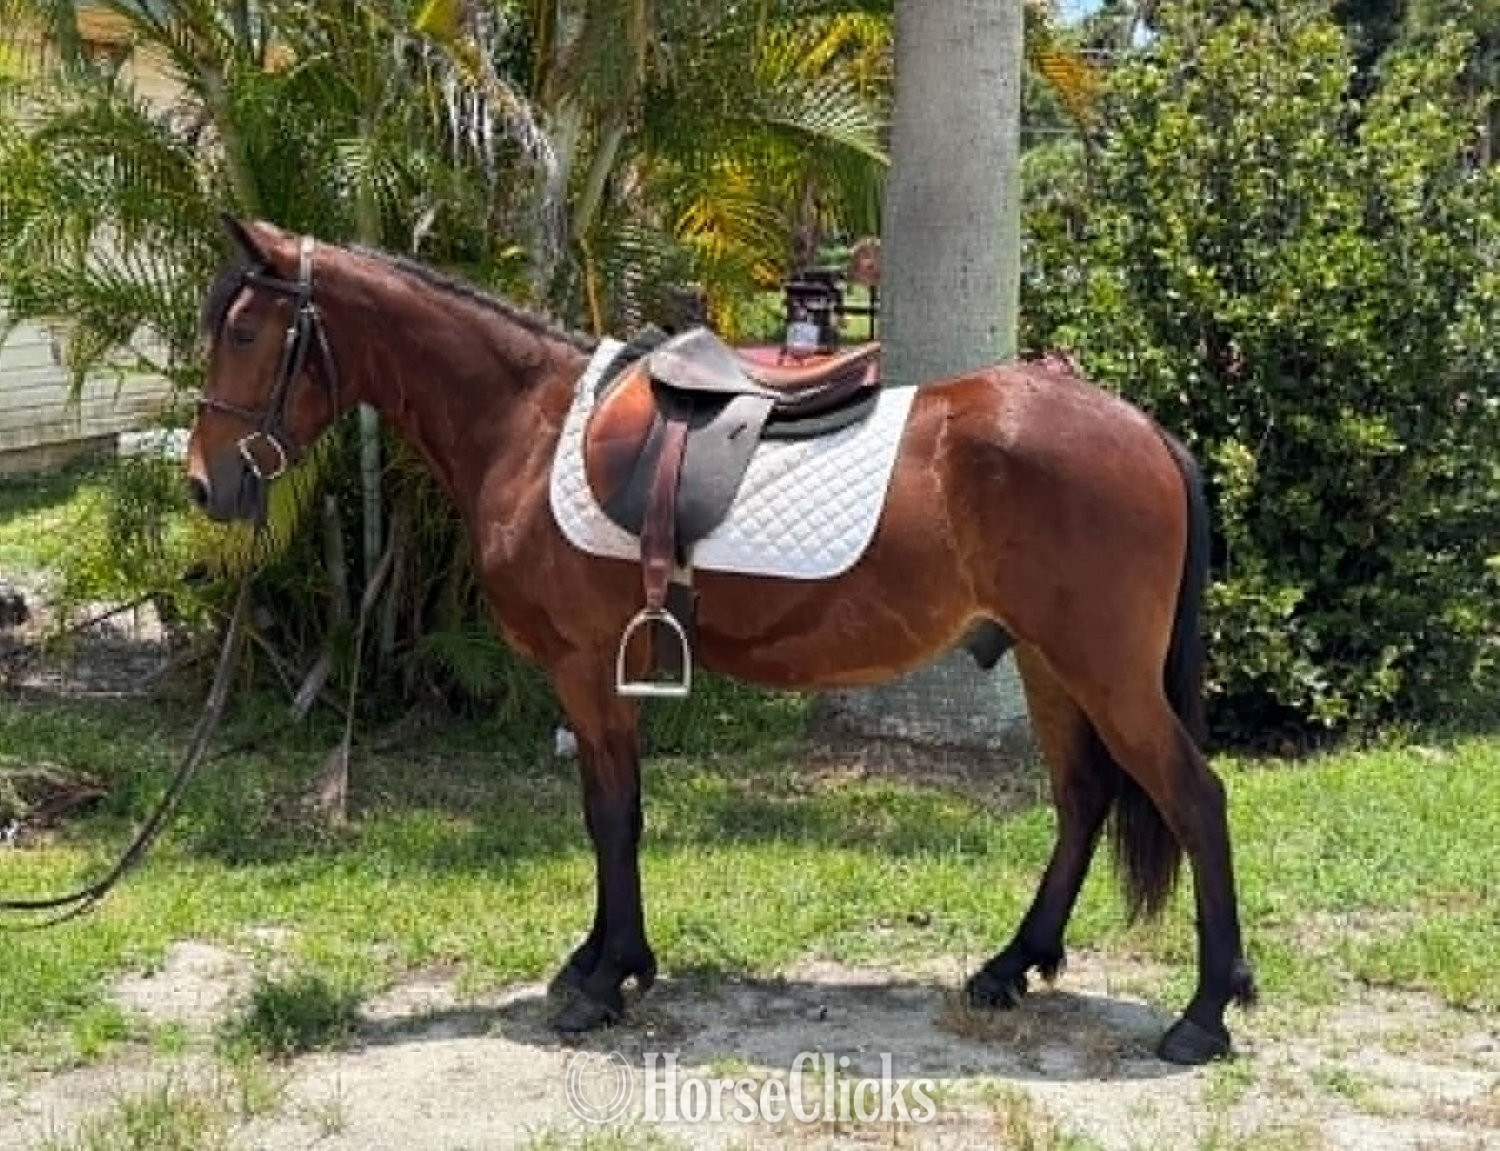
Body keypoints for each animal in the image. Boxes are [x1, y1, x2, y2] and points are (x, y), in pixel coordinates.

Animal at [186, 218, 1256, 1065]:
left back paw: (1203, 1013)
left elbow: (611, 815)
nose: (205, 484)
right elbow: (608, 810)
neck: (529, 424)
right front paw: (602, 960)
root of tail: (1144, 431)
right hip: (1047, 663)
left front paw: (604, 981)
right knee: (1081, 802)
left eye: (244, 331)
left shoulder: (587, 667)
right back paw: (1008, 967)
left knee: (1196, 798)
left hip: (1103, 670)